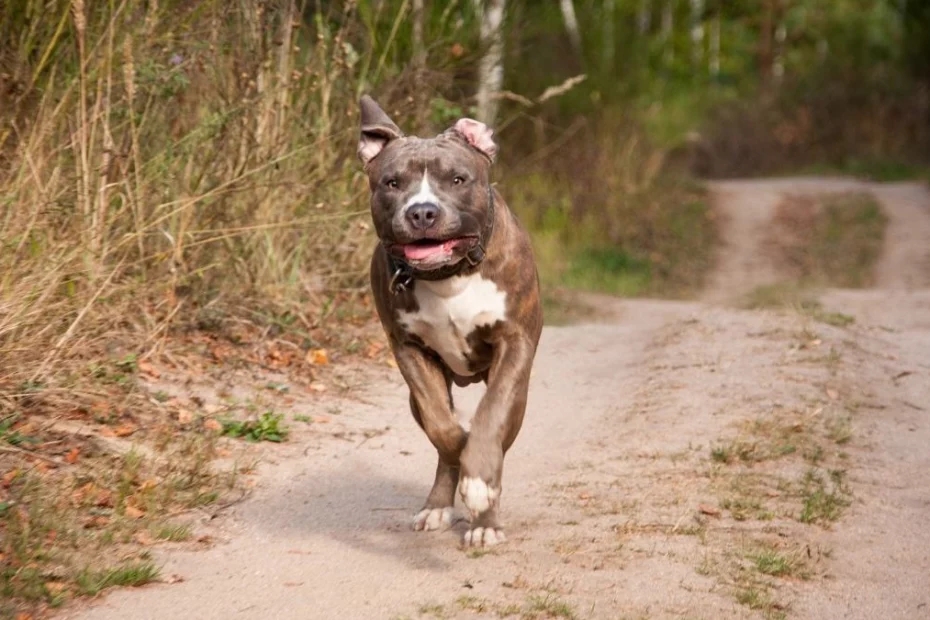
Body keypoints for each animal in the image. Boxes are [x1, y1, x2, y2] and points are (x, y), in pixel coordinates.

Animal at [358, 94, 544, 544]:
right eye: (392, 183)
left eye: (458, 179)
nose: (422, 212)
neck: (449, 275)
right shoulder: (408, 349)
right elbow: (443, 428)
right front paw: (462, 454)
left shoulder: (515, 343)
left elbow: (491, 418)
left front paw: (480, 487)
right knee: (442, 436)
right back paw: (439, 505)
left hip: (520, 394)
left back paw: (485, 521)